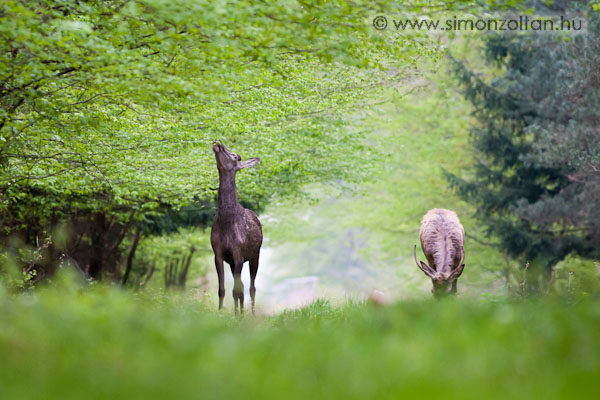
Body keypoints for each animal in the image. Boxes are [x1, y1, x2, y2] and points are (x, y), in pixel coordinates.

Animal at [211, 139, 262, 314]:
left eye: (234, 156)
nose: (218, 143)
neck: (226, 222)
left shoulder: (239, 254)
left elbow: (236, 291)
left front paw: (236, 315)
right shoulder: (218, 254)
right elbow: (222, 290)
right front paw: (220, 313)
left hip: (255, 255)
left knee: (252, 287)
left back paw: (251, 314)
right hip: (233, 262)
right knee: (243, 285)